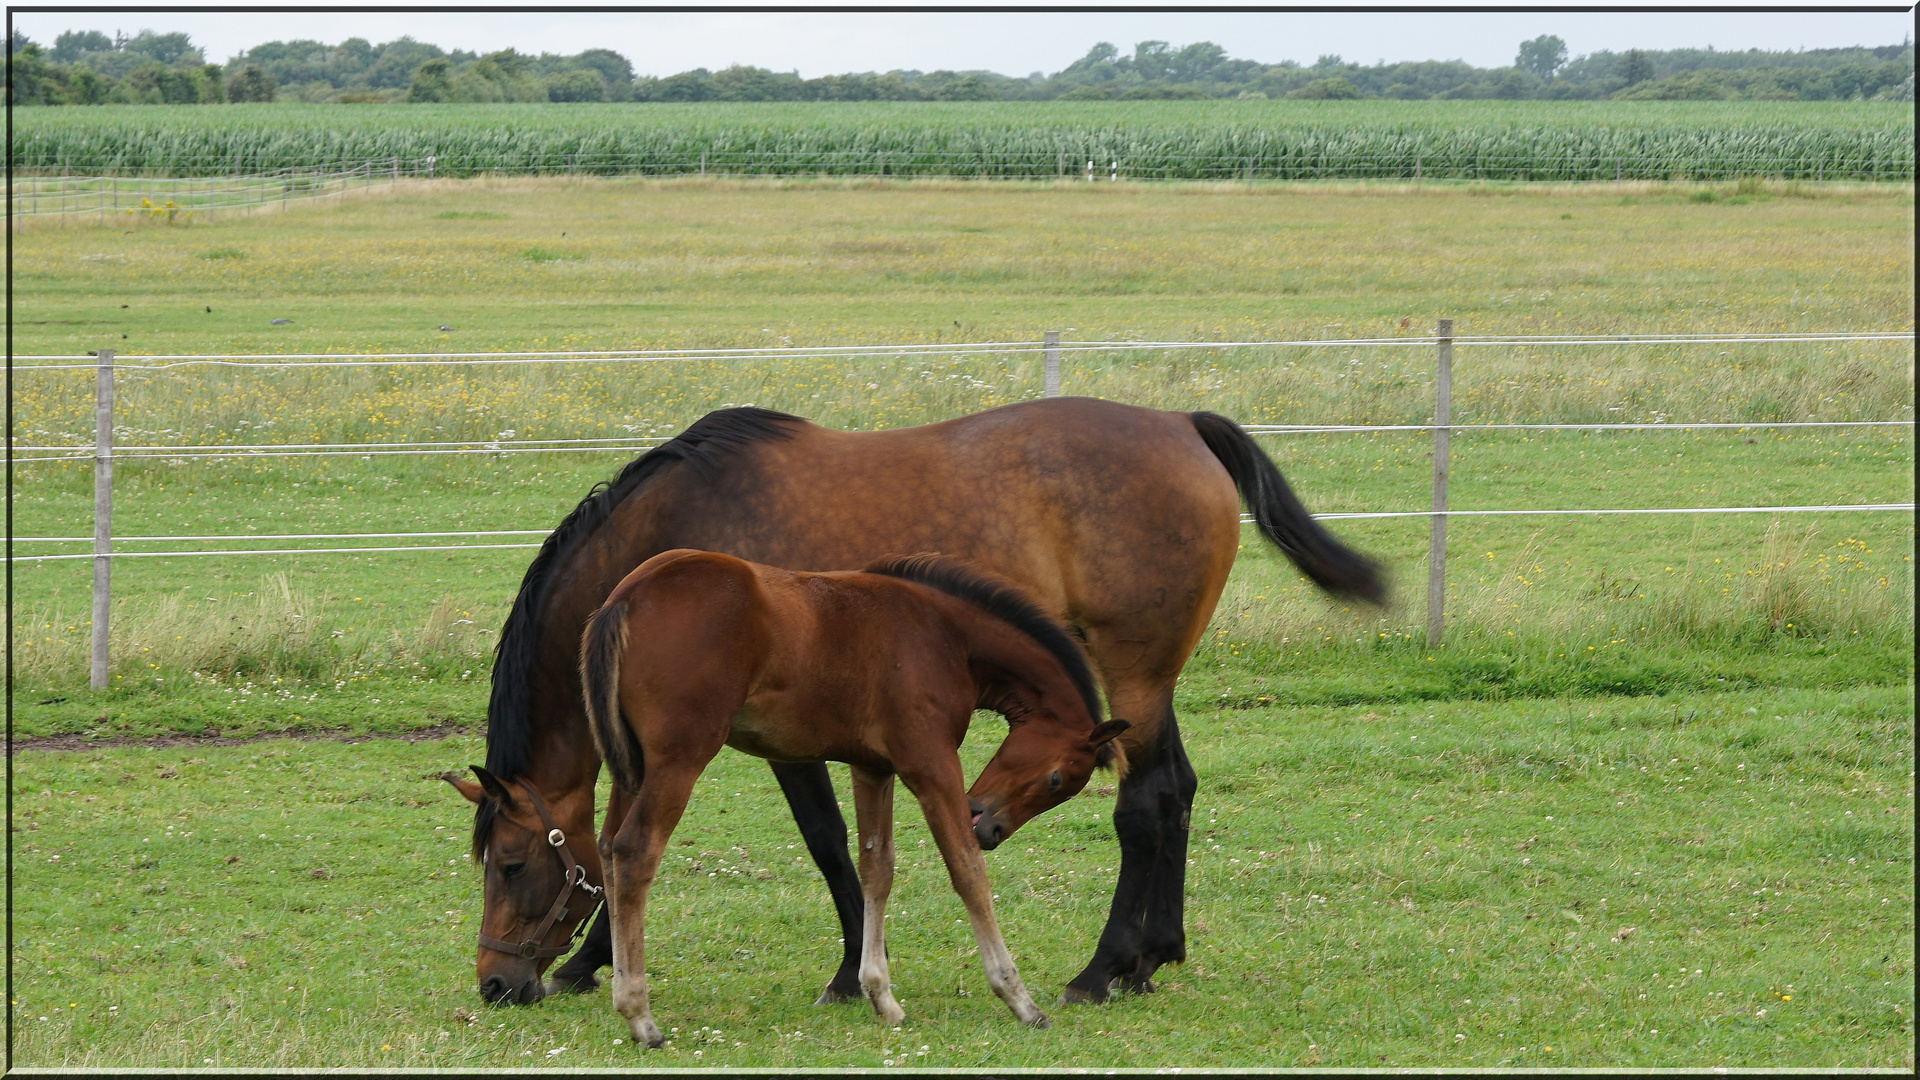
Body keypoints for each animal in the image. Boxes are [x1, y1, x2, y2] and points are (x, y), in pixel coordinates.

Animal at [576, 549, 1128, 1037]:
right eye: (1057, 779)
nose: (989, 826)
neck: (945, 637)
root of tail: (625, 596)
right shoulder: (929, 763)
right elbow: (967, 870)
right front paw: (1020, 999)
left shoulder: (872, 768)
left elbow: (876, 869)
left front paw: (882, 997)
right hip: (680, 758)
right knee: (635, 851)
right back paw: (640, 1016)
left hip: (634, 766)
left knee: (607, 847)